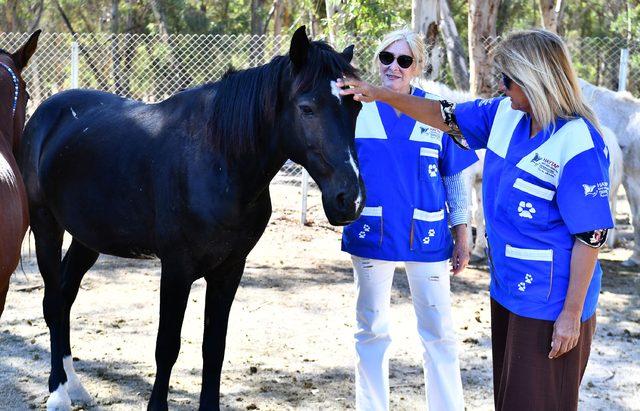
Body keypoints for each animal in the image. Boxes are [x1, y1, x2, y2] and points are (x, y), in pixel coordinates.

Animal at [20, 27, 364, 410]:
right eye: (307, 108)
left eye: (357, 105)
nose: (349, 199)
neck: (218, 160)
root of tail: (46, 112)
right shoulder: (176, 269)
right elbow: (166, 347)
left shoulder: (229, 269)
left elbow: (214, 348)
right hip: (47, 225)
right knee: (53, 301)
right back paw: (58, 393)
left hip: (87, 238)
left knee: (65, 296)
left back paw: (75, 386)